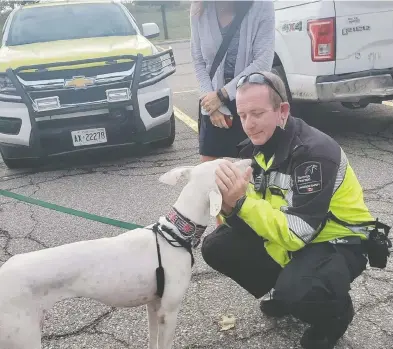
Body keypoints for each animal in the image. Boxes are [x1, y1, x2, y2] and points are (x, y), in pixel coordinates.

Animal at [0, 158, 251, 348]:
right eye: (229, 166)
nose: (251, 162)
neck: (176, 232)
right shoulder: (169, 312)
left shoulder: (153, 306)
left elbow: (152, 340)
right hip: (23, 336)